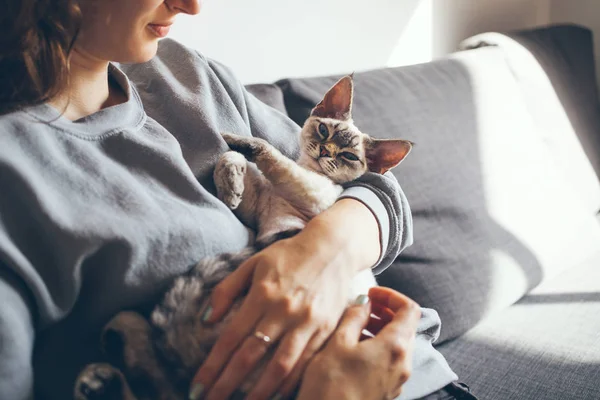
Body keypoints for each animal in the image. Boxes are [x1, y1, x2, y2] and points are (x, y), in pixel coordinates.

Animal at [74, 75, 412, 400]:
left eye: (349, 156)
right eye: (324, 130)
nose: (325, 151)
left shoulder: (315, 197)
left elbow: (267, 155)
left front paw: (239, 151)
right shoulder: (261, 209)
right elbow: (233, 160)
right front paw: (230, 185)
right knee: (153, 374)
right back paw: (97, 380)